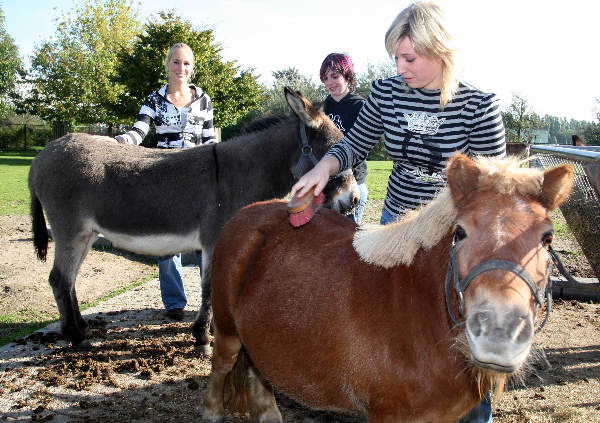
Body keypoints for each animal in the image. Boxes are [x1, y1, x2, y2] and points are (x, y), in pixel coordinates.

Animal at [205, 154, 572, 422]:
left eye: (547, 238)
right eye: (460, 232)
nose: (499, 334)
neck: (420, 310)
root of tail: (248, 214)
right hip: (227, 332)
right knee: (219, 374)